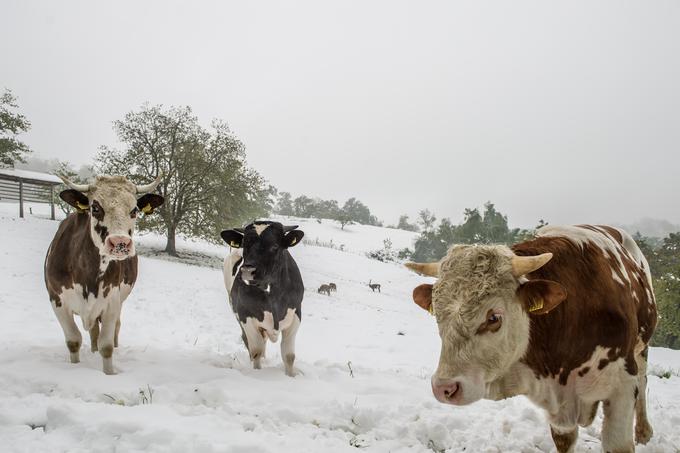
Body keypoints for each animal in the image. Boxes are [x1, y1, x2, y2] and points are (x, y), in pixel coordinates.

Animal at [44, 173, 164, 374]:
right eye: (95, 207)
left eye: (134, 210)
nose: (120, 243)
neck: (88, 274)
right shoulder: (57, 299)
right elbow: (73, 341)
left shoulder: (112, 302)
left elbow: (106, 346)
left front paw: (109, 374)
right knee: (93, 332)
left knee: (114, 328)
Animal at [222, 221, 304, 376]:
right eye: (244, 244)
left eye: (275, 246)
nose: (248, 270)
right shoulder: (245, 315)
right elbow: (256, 351)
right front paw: (257, 373)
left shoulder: (296, 315)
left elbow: (289, 356)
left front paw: (291, 376)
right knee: (249, 341)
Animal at [406, 225, 656, 452]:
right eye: (437, 314)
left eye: (493, 317)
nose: (444, 388)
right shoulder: (559, 408)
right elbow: (564, 439)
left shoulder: (622, 386)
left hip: (642, 349)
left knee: (643, 380)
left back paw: (644, 431)